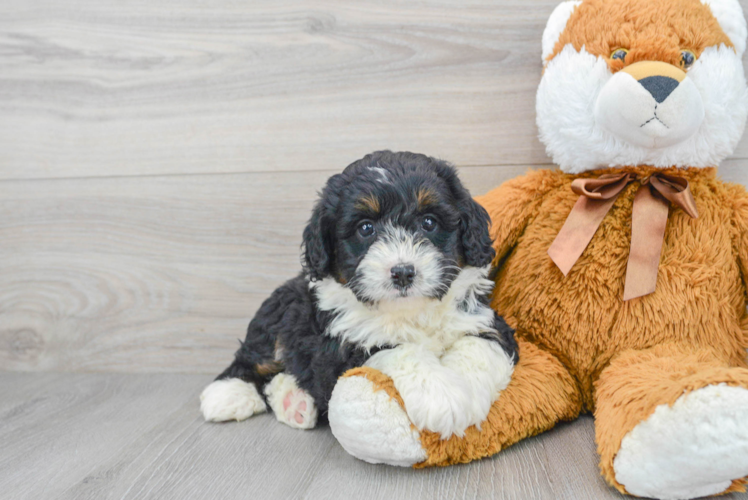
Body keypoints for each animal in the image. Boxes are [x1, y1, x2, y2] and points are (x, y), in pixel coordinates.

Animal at [202, 149, 516, 438]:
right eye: (366, 228)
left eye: (429, 222)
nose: (403, 272)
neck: (410, 312)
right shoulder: (340, 348)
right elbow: (397, 349)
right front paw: (441, 396)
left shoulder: (484, 320)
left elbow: (479, 348)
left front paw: (468, 397)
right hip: (280, 311)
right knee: (255, 356)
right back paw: (227, 394)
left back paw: (294, 401)